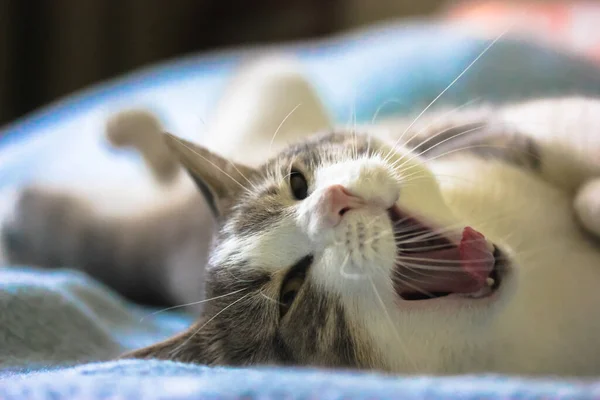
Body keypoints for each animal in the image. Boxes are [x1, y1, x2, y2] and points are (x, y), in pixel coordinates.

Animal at [1, 57, 600, 376]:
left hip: (274, 88)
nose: (334, 202)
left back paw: (131, 128)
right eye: (290, 293)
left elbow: (575, 143)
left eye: (297, 183)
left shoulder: (493, 131)